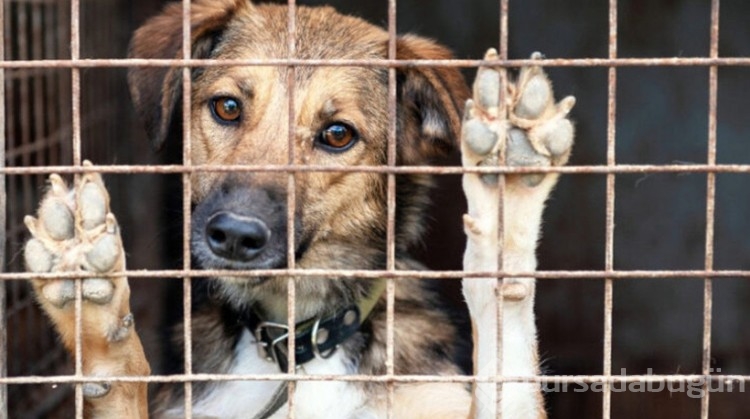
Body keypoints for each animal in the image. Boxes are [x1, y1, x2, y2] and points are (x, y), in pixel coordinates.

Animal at [22, 1, 576, 418]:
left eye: (338, 135)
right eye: (227, 107)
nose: (235, 235)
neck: (297, 346)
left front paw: (507, 192)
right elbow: (120, 378)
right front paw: (91, 308)